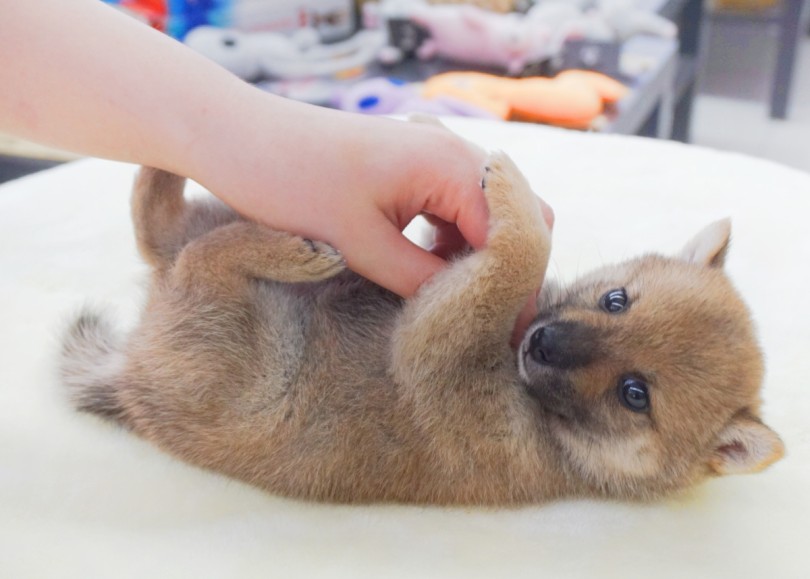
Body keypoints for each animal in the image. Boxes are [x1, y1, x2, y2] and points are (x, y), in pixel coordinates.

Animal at [63, 151, 784, 508]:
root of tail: (128, 379)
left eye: (636, 394)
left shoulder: (432, 348)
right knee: (158, 219)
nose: (540, 342)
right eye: (615, 300)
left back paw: (287, 252)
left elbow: (521, 254)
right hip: (215, 227)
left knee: (196, 254)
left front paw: (514, 199)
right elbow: (501, 257)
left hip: (232, 350)